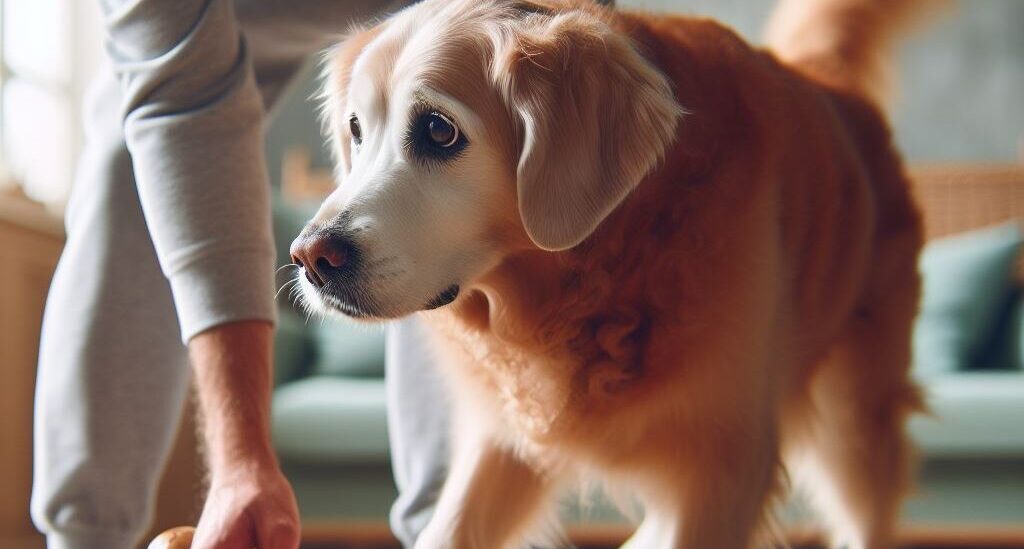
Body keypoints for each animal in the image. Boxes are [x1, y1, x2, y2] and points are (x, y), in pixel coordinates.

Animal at [290, 2, 937, 544]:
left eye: (438, 130)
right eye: (355, 130)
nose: (309, 258)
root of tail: (826, 80)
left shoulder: (723, 467)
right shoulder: (504, 441)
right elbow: (449, 528)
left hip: (855, 424)